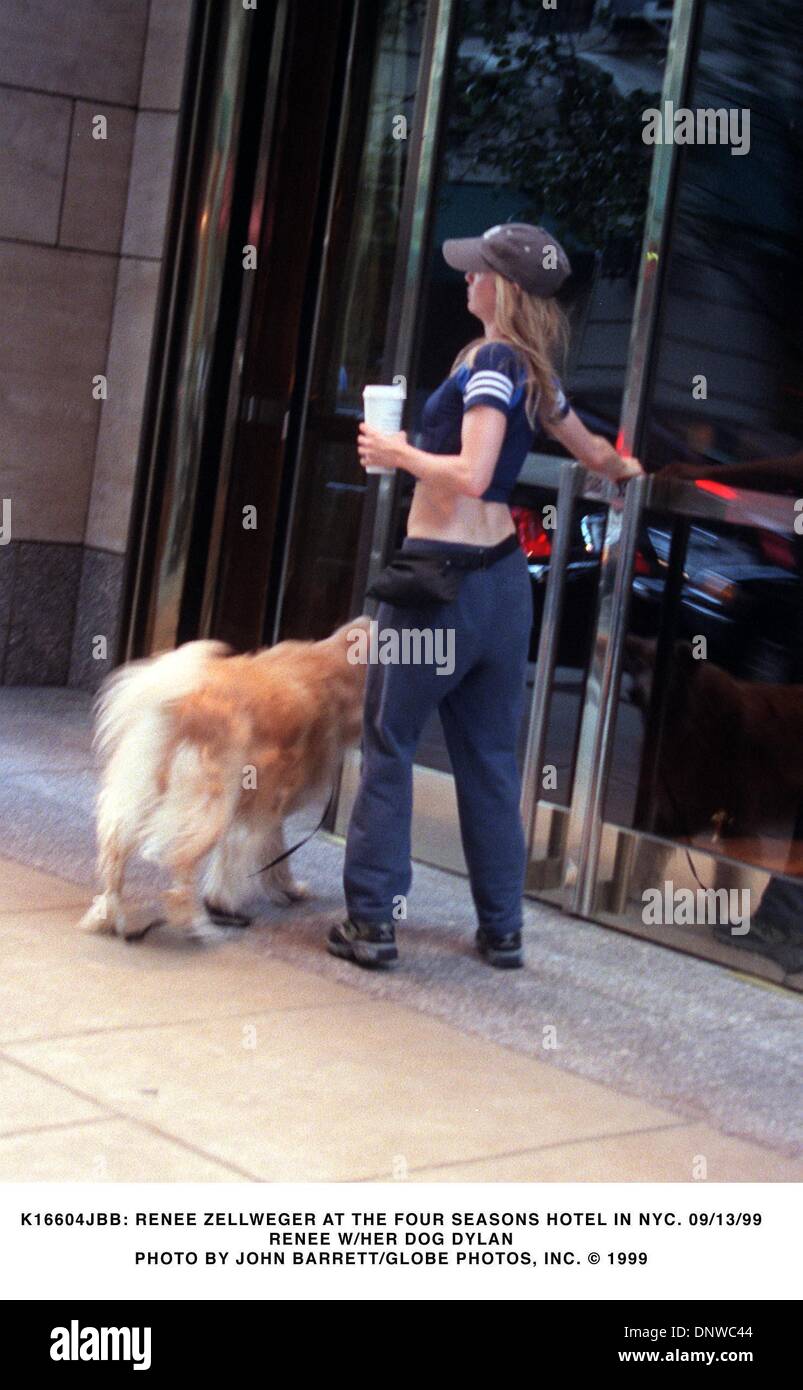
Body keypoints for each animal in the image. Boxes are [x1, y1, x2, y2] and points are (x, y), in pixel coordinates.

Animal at [79, 619, 369, 945]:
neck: (334, 665)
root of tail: (179, 702)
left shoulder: (262, 807)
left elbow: (274, 853)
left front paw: (286, 888)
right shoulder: (261, 805)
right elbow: (245, 859)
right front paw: (225, 903)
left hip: (140, 795)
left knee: (115, 855)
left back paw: (108, 915)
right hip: (208, 807)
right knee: (181, 862)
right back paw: (194, 923)